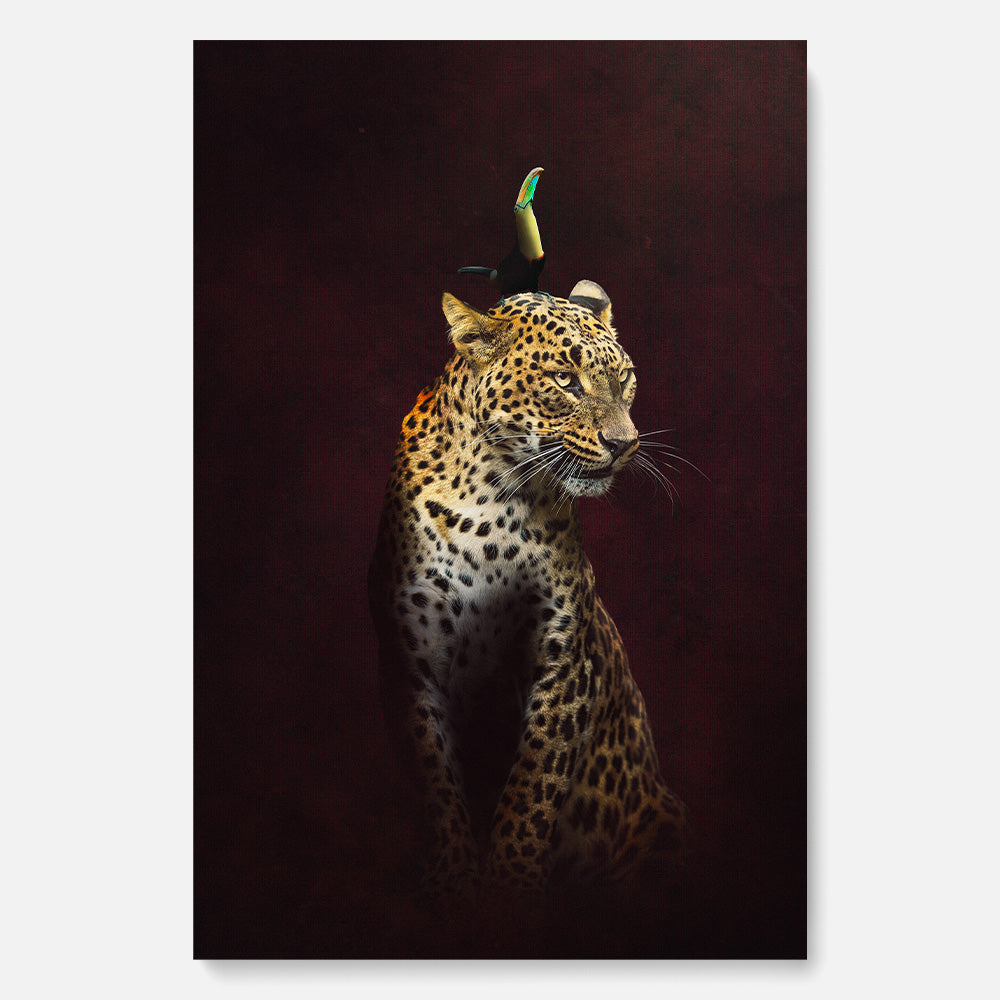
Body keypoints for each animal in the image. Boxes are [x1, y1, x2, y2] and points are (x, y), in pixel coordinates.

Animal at [368, 280, 686, 900]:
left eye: (625, 378)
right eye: (565, 379)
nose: (625, 444)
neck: (491, 501)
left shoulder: (562, 660)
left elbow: (533, 786)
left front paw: (510, 886)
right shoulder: (413, 662)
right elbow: (438, 779)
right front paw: (455, 879)